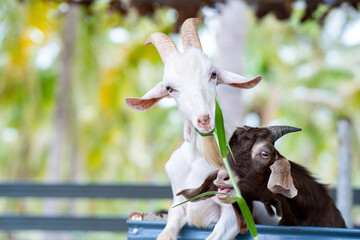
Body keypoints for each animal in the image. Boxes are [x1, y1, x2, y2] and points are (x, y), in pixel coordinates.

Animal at [126, 17, 262, 239]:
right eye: (169, 88)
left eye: (213, 74)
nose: (204, 119)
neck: (198, 157)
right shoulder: (177, 206)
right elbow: (166, 232)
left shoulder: (235, 210)